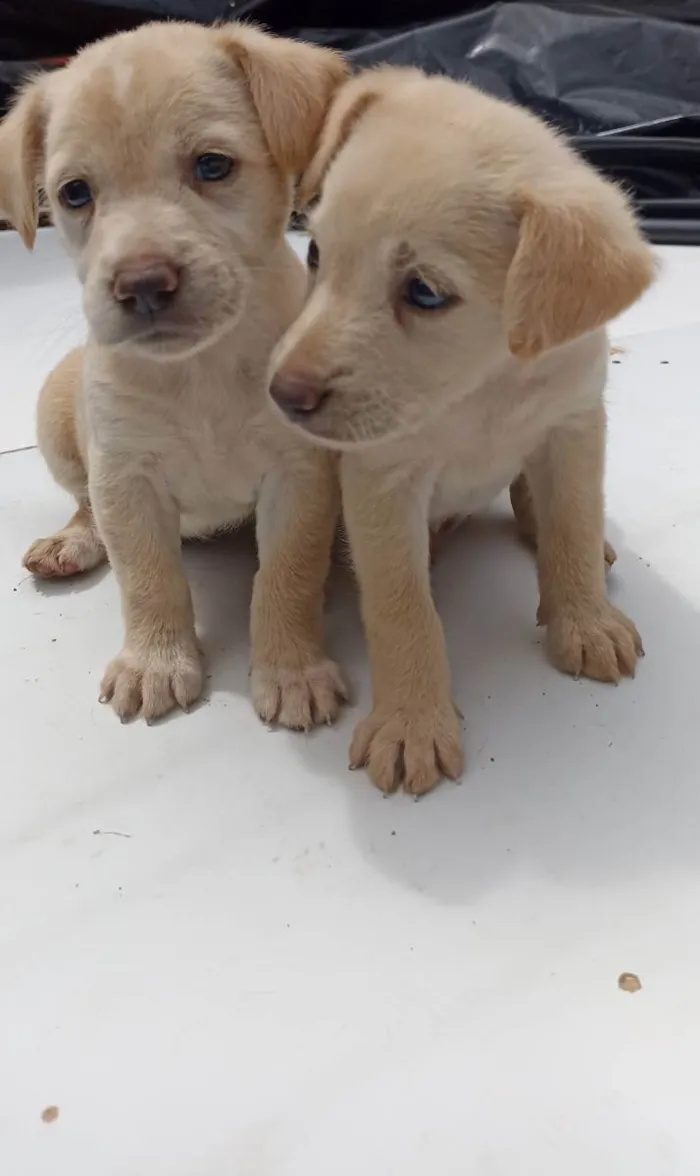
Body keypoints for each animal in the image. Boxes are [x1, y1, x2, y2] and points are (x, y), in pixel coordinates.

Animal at [0, 22, 350, 724]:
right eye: (74, 193)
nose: (141, 284)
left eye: (212, 166)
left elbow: (288, 574)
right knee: (85, 506)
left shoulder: (299, 475)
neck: (200, 369)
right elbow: (148, 577)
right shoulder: (126, 478)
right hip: (56, 413)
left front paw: (292, 668)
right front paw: (155, 662)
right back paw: (71, 543)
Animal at [268, 68, 658, 794]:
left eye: (424, 292)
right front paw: (412, 724)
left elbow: (572, 525)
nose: (282, 394)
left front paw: (586, 620)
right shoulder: (382, 480)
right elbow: (401, 607)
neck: (485, 388)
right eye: (315, 254)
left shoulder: (574, 426)